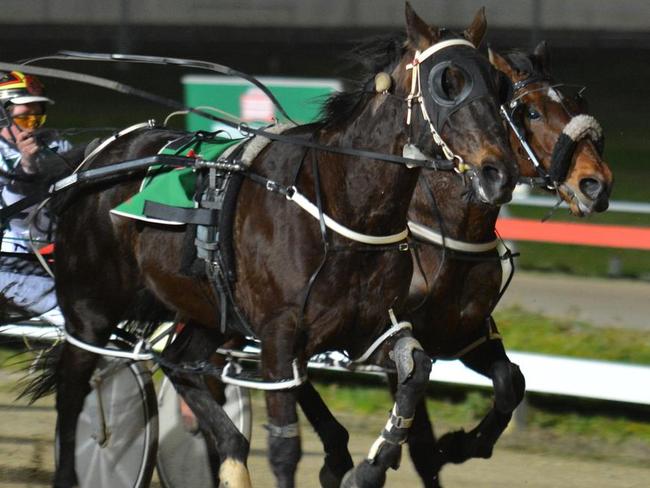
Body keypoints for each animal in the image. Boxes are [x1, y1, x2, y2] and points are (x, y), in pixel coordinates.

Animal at [25, 3, 516, 488]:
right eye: (446, 82)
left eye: (499, 85)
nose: (500, 173)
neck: (341, 203)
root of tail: (95, 158)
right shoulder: (281, 338)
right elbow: (285, 445)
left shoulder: (370, 328)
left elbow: (417, 369)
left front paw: (373, 465)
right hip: (91, 310)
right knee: (72, 393)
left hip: (208, 312)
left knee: (179, 363)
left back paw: (231, 455)